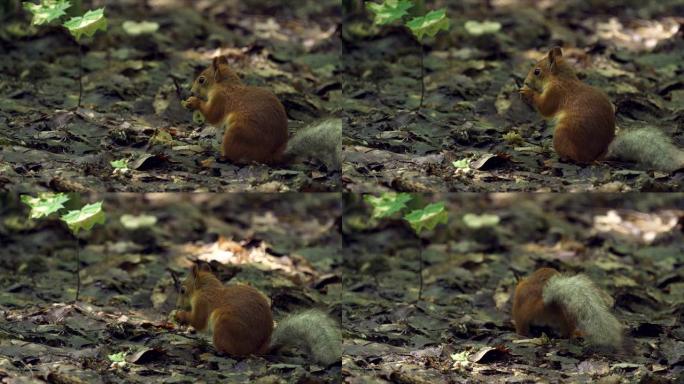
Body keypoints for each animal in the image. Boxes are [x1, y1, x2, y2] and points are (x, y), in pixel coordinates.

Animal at [174, 262, 340, 364]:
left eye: (182, 290)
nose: (177, 304)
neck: (207, 289)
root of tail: (258, 349)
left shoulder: (203, 303)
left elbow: (198, 320)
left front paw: (179, 315)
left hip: (224, 325)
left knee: (233, 352)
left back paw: (214, 349)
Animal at [182, 56, 342, 170]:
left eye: (201, 80)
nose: (191, 91)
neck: (226, 86)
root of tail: (270, 155)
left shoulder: (221, 99)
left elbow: (213, 115)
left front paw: (193, 102)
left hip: (237, 133)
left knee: (237, 156)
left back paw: (220, 155)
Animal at [520, 46, 684, 171]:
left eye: (537, 71)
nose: (525, 82)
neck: (562, 78)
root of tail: (596, 156)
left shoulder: (556, 92)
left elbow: (545, 108)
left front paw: (527, 92)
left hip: (563, 134)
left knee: (576, 159)